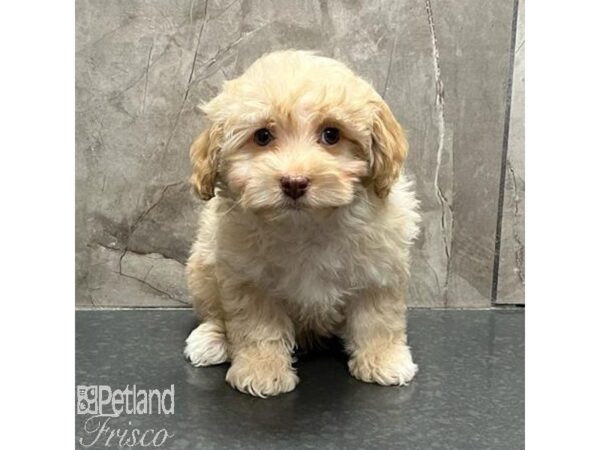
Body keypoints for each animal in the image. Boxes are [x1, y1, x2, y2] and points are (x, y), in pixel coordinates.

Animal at [185, 50, 420, 398]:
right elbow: (257, 328)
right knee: (215, 312)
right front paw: (262, 370)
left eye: (331, 134)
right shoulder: (248, 280)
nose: (294, 182)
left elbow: (378, 319)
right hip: (202, 267)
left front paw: (384, 360)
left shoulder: (379, 271)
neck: (306, 225)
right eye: (262, 136)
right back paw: (211, 340)